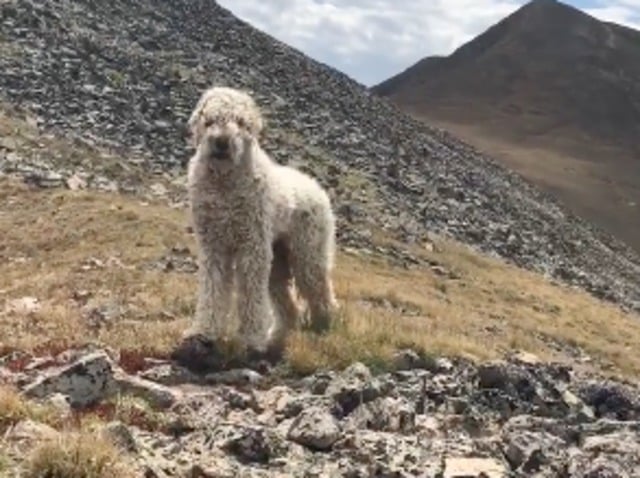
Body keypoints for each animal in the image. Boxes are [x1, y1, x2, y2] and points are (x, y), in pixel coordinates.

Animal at [181, 86, 340, 362]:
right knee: (289, 306)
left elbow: (251, 295)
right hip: (278, 259)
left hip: (307, 253)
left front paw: (251, 339)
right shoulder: (214, 246)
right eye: (210, 120)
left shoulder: (252, 246)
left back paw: (323, 326)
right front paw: (203, 332)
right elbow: (212, 290)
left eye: (240, 122)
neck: (224, 184)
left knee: (320, 290)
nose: (221, 142)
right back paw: (276, 336)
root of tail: (316, 187)